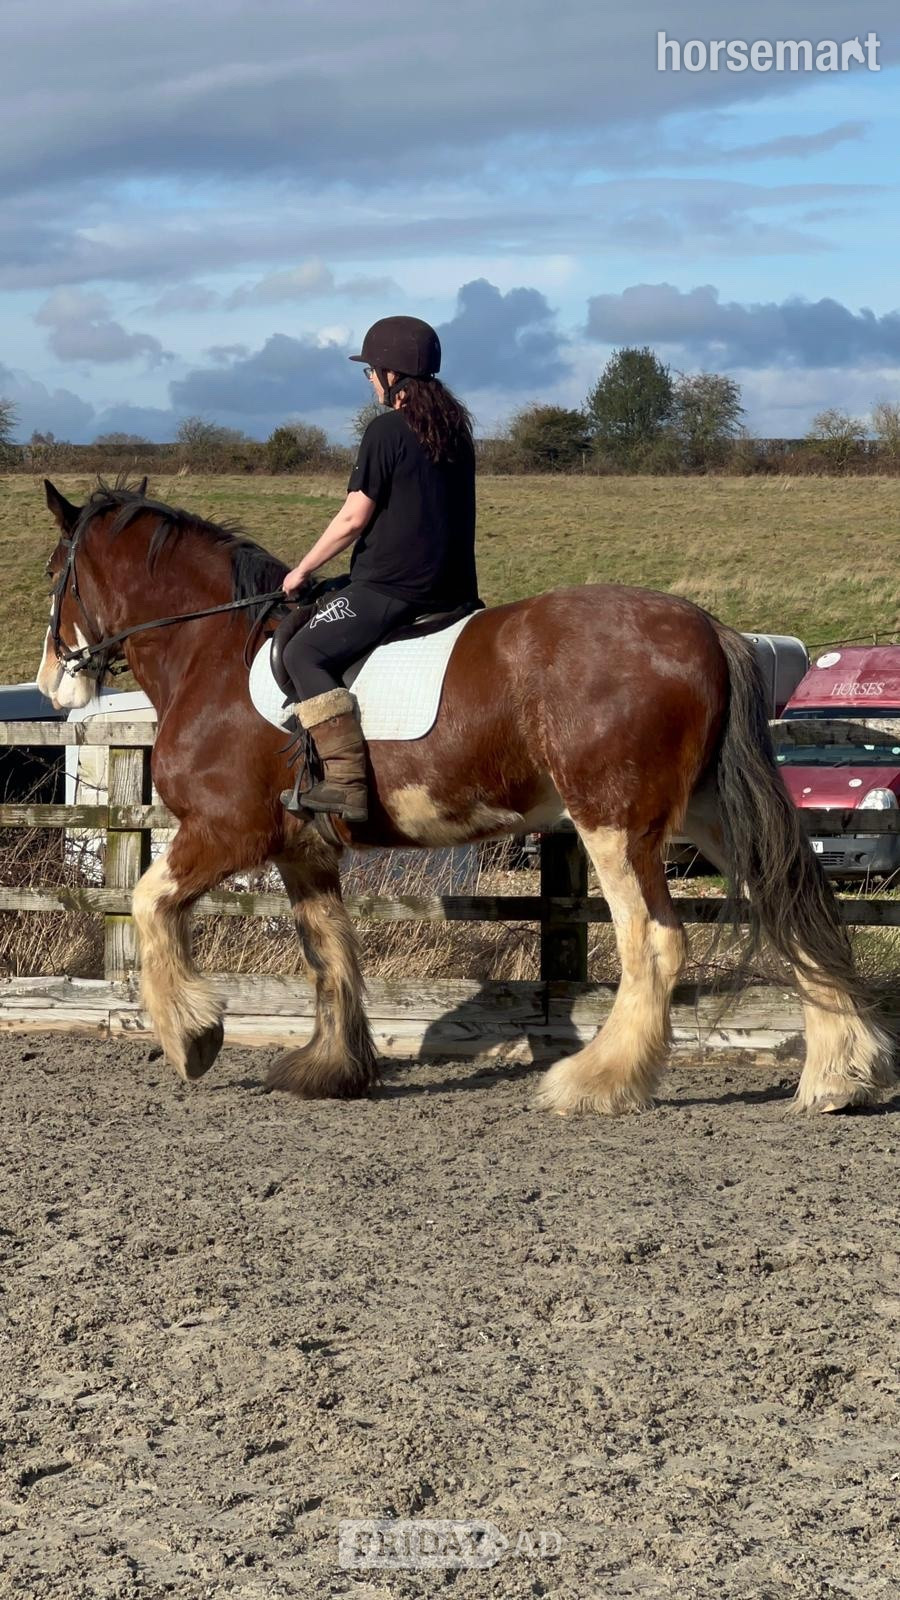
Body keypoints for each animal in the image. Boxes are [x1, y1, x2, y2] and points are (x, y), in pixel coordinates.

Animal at [36, 477, 895, 1115]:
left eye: (54, 575)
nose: (52, 685)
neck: (212, 650)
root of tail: (710, 630)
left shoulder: (227, 830)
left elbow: (149, 901)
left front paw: (193, 1037)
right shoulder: (303, 849)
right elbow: (329, 950)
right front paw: (331, 1069)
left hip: (615, 824)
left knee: (654, 940)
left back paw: (595, 1082)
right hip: (709, 817)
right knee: (795, 904)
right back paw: (838, 1077)